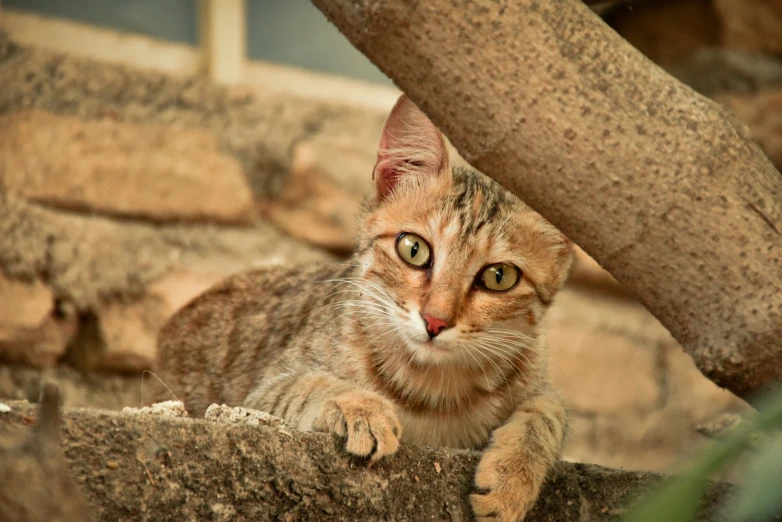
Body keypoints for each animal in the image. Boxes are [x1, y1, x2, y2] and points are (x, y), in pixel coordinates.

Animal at [156, 94, 576, 520]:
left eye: (499, 276)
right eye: (413, 249)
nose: (435, 321)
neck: (432, 391)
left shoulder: (536, 375)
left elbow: (550, 411)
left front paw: (513, 476)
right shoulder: (256, 399)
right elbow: (306, 383)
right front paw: (358, 407)